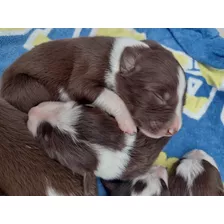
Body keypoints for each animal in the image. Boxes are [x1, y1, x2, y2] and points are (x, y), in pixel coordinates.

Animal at [0, 36, 186, 139]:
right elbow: (113, 97)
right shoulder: (87, 70)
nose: (174, 130)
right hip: (27, 86)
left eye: (183, 102)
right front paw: (127, 121)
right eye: (158, 96)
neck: (118, 57)